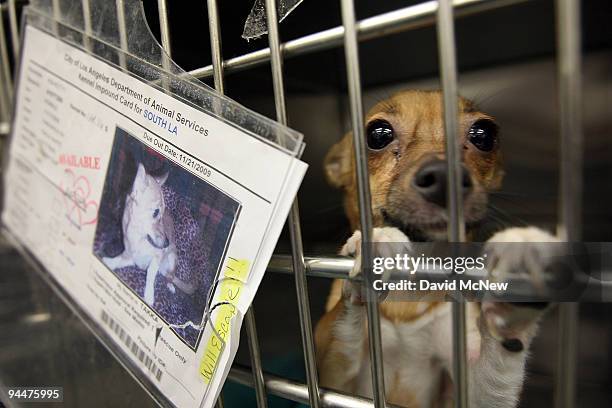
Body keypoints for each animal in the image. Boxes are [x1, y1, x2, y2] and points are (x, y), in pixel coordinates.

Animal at [103, 163, 194, 306]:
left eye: (163, 213)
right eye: (156, 212)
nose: (166, 244)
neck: (139, 237)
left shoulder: (157, 257)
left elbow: (151, 273)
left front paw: (149, 295)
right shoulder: (130, 256)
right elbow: (118, 260)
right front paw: (109, 262)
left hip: (172, 259)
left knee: (171, 277)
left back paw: (170, 285)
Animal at [316, 90, 560, 408]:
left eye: (484, 134)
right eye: (378, 134)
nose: (446, 177)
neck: (408, 300)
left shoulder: (471, 394)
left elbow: (496, 368)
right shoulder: (333, 382)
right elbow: (342, 327)